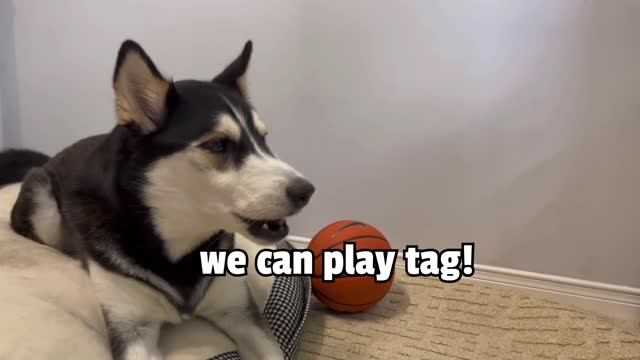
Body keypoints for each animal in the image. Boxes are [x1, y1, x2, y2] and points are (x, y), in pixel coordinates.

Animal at [1, 40, 316, 360]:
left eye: (263, 139)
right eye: (218, 144)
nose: (306, 191)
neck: (177, 245)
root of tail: (49, 158)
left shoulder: (239, 311)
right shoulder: (132, 328)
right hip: (45, 209)